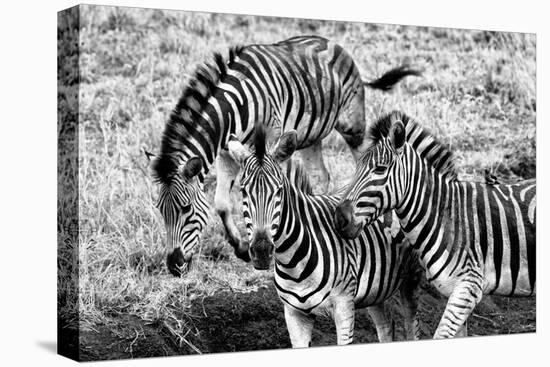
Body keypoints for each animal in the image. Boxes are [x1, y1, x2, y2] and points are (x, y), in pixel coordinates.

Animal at [144, 36, 420, 276]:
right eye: (160, 210)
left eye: (185, 208)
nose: (174, 266)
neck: (231, 110)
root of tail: (333, 43)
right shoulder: (226, 153)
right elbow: (221, 203)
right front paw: (241, 247)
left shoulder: (270, 144)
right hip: (311, 136)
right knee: (321, 176)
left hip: (353, 126)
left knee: (366, 161)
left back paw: (384, 221)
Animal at [227, 126, 422, 348]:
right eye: (243, 192)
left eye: (279, 191)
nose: (261, 252)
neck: (293, 261)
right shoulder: (294, 314)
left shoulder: (344, 305)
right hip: (377, 289)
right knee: (386, 326)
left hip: (411, 277)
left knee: (412, 326)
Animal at [334, 112, 536, 340]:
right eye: (356, 168)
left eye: (380, 169)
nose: (339, 218)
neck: (446, 216)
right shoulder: (455, 290)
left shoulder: (468, 288)